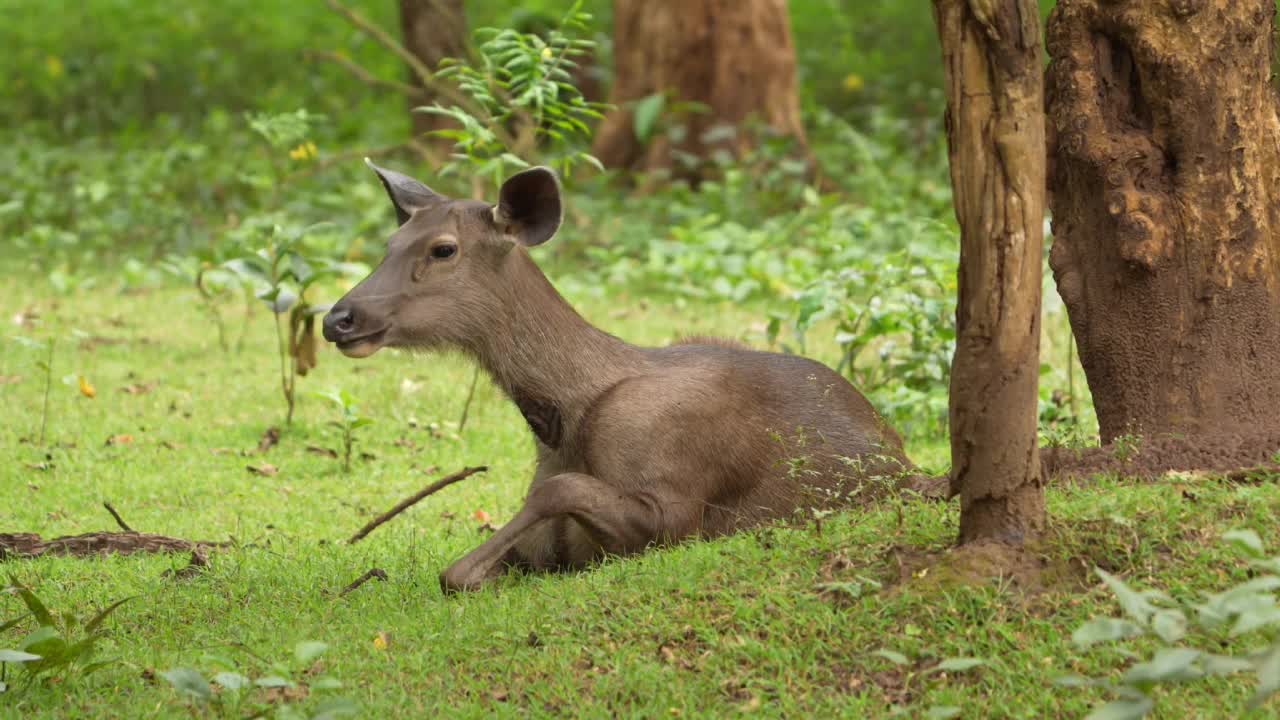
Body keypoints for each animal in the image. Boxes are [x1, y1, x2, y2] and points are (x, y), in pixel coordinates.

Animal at [322, 161, 911, 589]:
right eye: (388, 246)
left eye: (443, 248)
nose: (337, 319)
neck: (571, 414)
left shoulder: (675, 508)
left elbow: (552, 495)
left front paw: (464, 570)